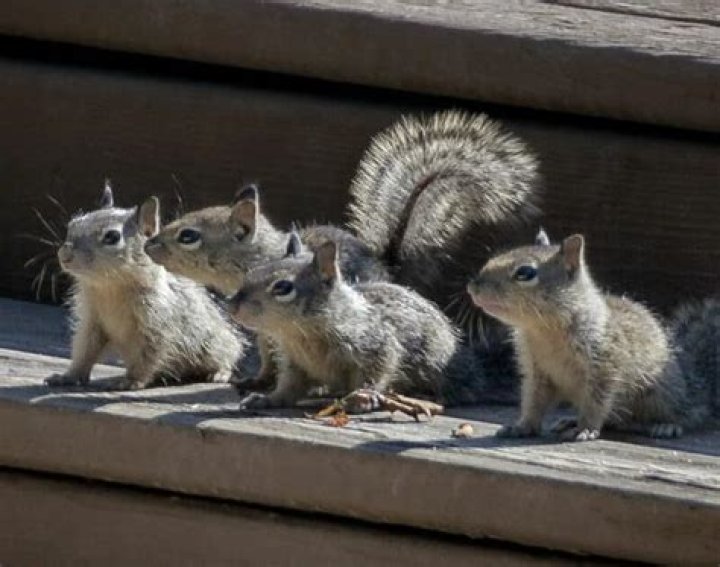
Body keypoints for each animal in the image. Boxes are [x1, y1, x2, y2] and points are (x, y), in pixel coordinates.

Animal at [45, 182, 246, 390]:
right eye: (73, 224)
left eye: (112, 237)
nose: (64, 255)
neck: (110, 287)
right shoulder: (92, 322)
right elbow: (85, 351)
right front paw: (68, 376)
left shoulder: (156, 322)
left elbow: (148, 356)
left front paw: (131, 381)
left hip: (217, 344)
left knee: (229, 356)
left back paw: (220, 373)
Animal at [227, 233, 488, 411]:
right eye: (252, 272)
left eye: (283, 287)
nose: (232, 305)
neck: (301, 334)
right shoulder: (295, 363)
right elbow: (289, 388)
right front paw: (267, 399)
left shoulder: (375, 344)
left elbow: (378, 370)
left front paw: (363, 397)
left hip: (438, 361)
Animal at [467, 229, 711, 441]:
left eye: (525, 273)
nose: (473, 287)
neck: (544, 330)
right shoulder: (537, 373)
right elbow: (534, 402)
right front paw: (522, 426)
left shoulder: (605, 365)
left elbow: (596, 403)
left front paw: (585, 429)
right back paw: (570, 421)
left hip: (661, 393)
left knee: (682, 413)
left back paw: (666, 425)